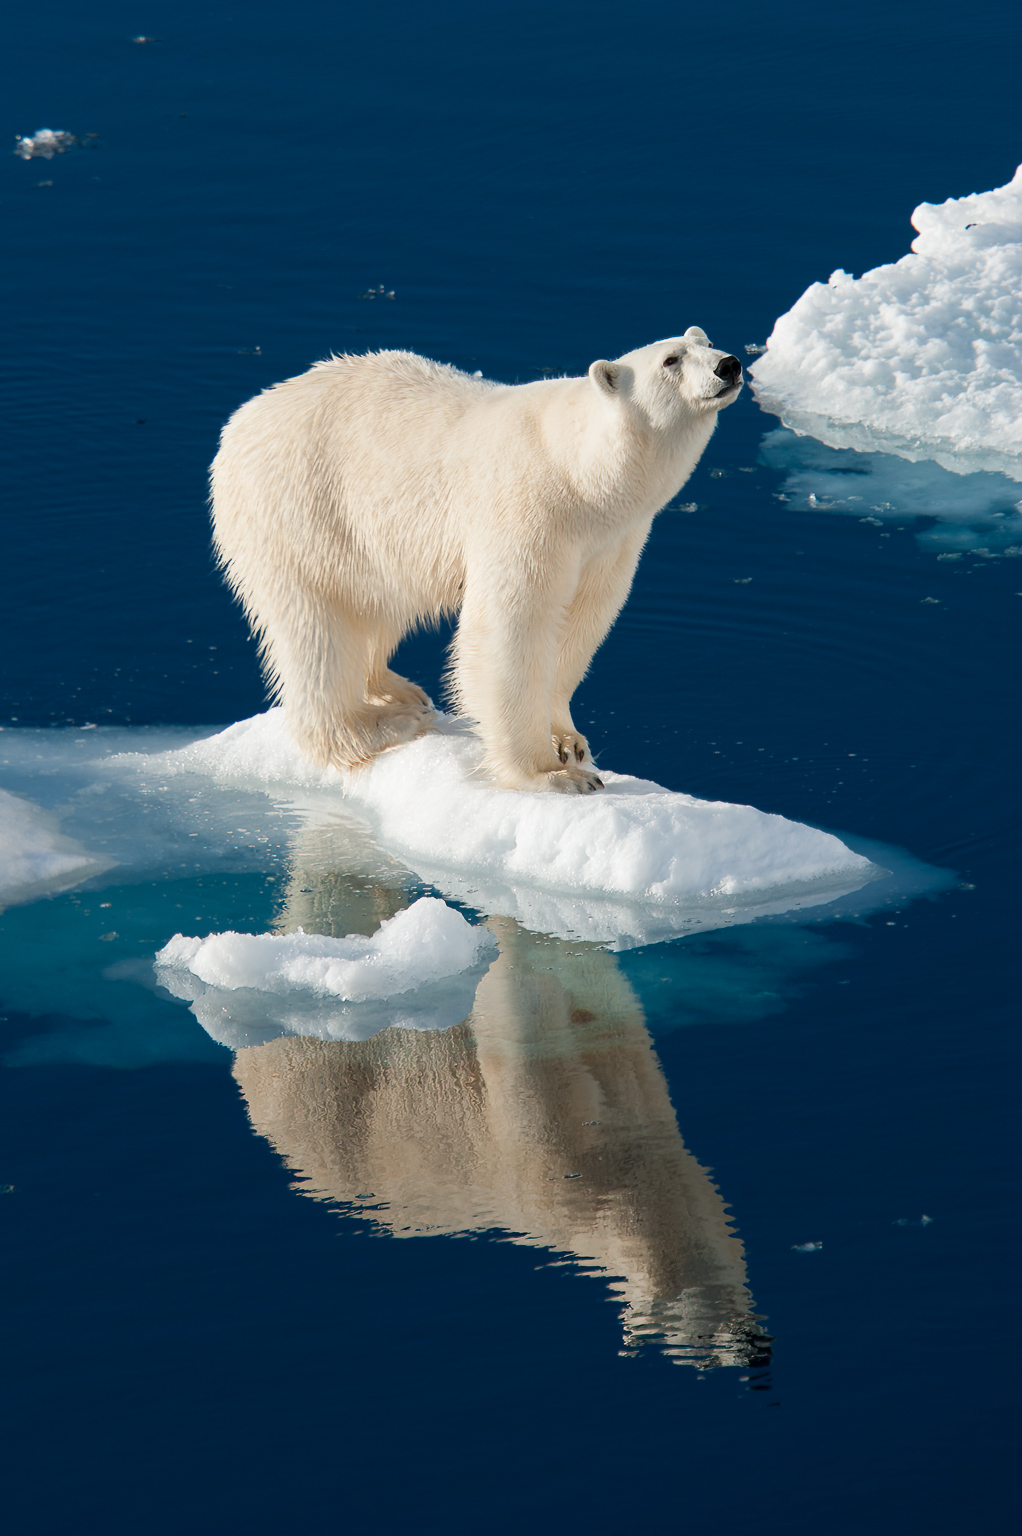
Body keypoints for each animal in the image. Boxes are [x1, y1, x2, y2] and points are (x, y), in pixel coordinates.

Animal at [210, 329, 742, 793]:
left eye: (707, 341)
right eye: (670, 360)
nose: (729, 365)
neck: (580, 473)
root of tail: (243, 418)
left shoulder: (612, 541)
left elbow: (581, 621)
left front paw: (568, 741)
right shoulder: (529, 510)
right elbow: (511, 630)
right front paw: (554, 775)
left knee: (379, 604)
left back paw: (400, 689)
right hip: (300, 511)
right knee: (320, 630)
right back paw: (388, 724)